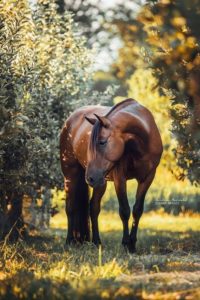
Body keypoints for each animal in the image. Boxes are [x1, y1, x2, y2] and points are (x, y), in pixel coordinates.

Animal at [59, 99, 162, 253]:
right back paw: (69, 242)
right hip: (71, 176)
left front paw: (132, 245)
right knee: (70, 207)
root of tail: (69, 121)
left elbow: (137, 210)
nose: (89, 178)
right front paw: (125, 243)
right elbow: (124, 210)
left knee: (94, 208)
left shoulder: (147, 178)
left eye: (102, 142)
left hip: (100, 182)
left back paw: (97, 242)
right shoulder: (120, 179)